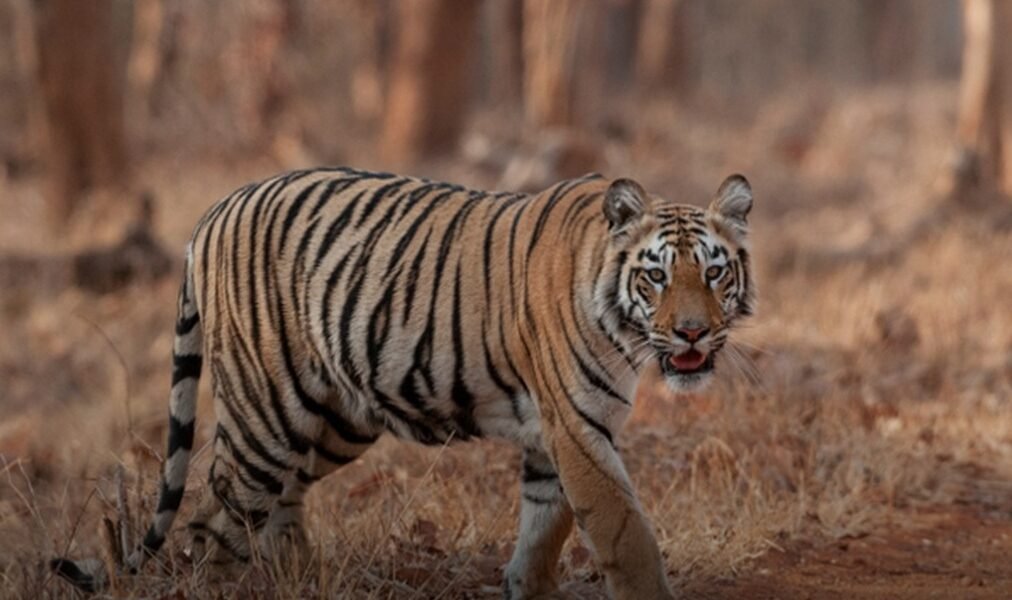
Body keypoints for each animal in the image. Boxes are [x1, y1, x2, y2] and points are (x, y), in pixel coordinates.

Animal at [52, 167, 755, 599]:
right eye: (657, 276)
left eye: (714, 272)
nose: (693, 334)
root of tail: (214, 211)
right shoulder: (578, 429)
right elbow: (625, 536)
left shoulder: (554, 437)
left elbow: (542, 532)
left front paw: (526, 586)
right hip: (265, 415)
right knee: (213, 523)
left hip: (333, 419)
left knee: (278, 505)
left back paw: (300, 577)